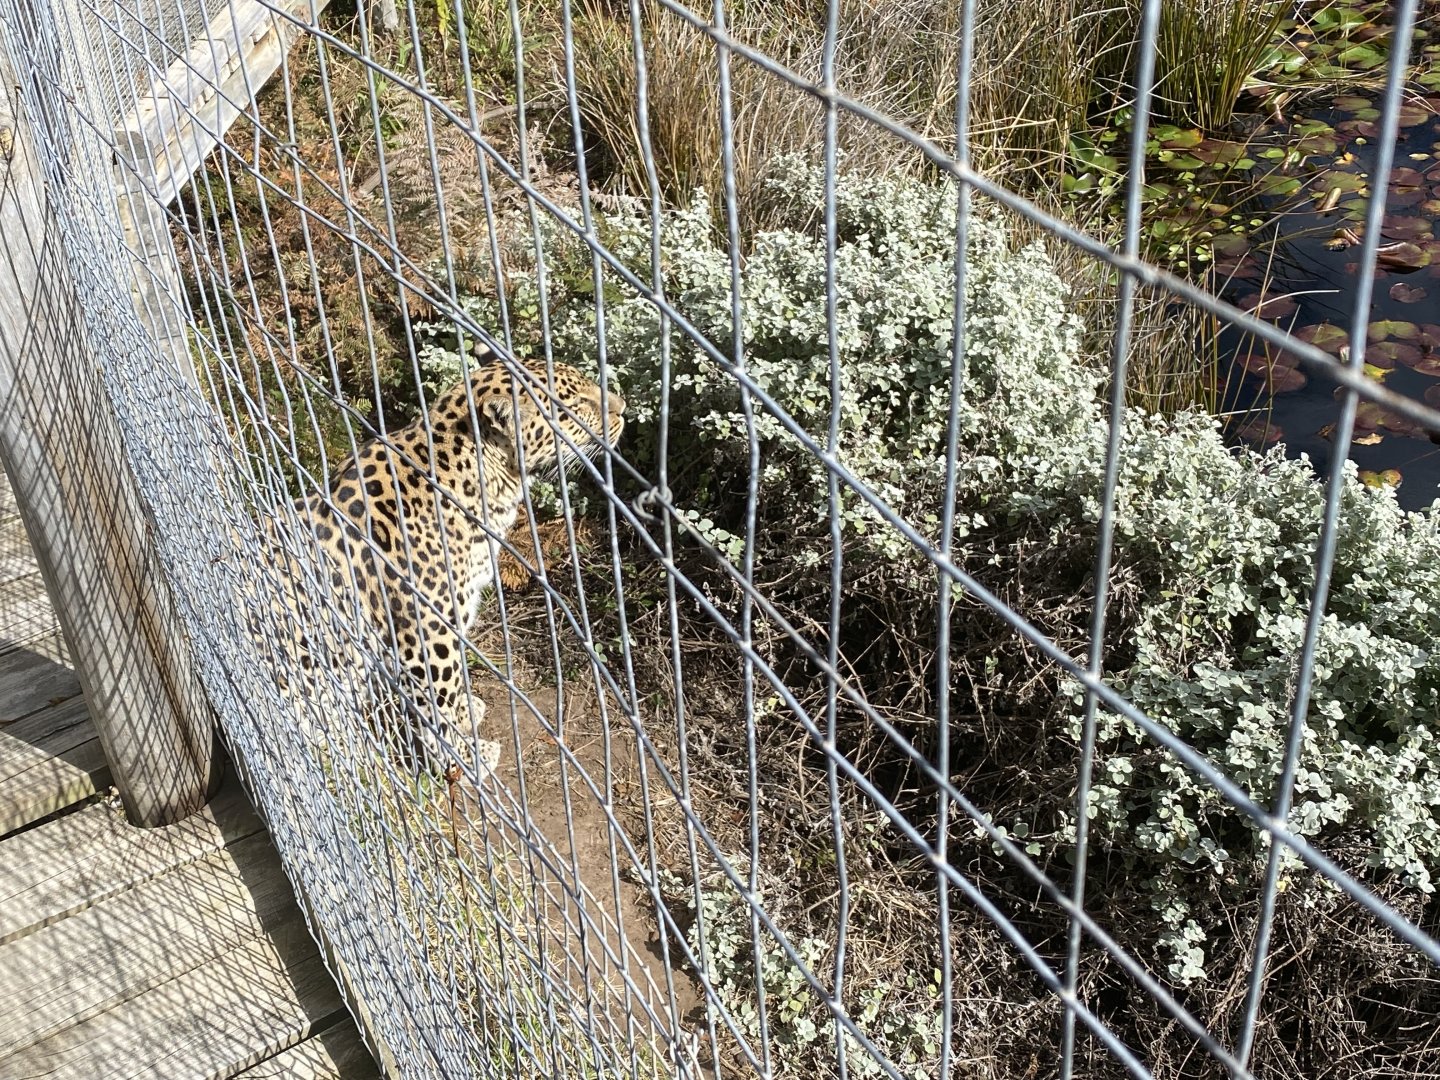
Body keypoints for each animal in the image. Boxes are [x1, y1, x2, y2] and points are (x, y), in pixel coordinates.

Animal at [248, 349, 625, 782]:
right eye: (574, 405)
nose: (624, 409)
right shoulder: (427, 633)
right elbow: (440, 701)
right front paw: (465, 758)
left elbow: (455, 688)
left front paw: (468, 711)